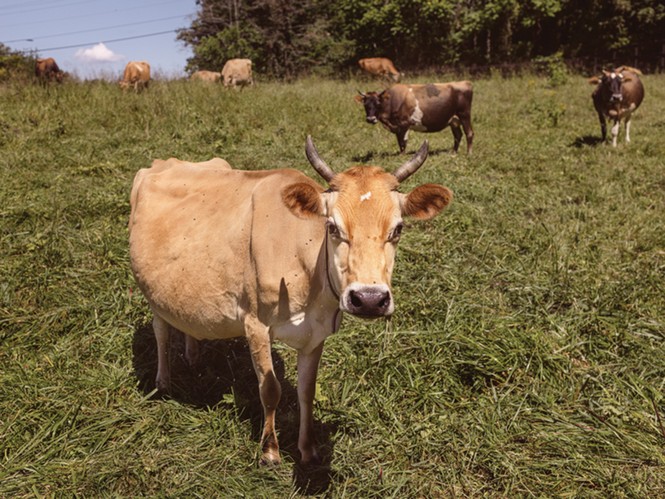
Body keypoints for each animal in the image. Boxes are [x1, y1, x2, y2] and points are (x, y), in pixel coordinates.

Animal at [129, 136, 453, 466]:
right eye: (332, 227)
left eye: (398, 228)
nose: (369, 299)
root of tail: (164, 162)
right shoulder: (255, 324)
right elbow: (270, 389)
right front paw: (270, 451)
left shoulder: (316, 334)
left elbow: (306, 391)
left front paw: (307, 449)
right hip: (151, 291)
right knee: (161, 331)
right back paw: (163, 383)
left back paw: (193, 356)